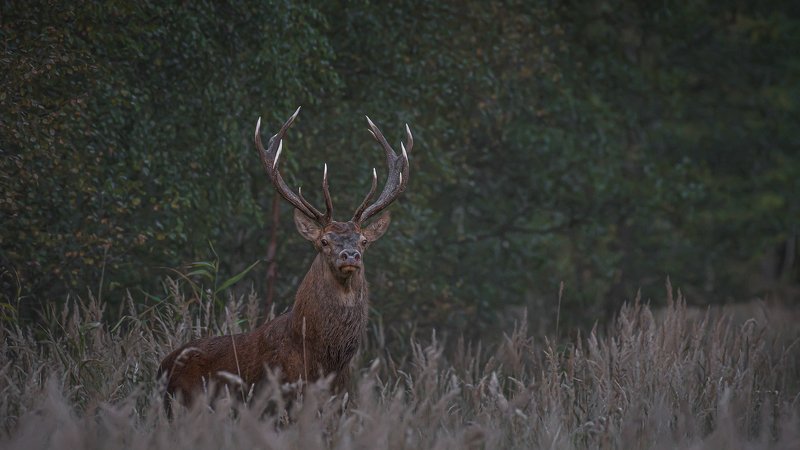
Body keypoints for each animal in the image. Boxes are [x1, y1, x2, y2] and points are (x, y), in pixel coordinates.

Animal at [157, 107, 412, 408]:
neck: (323, 361)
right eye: (323, 241)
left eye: (363, 241)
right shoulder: (278, 400)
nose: (350, 255)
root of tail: (161, 367)